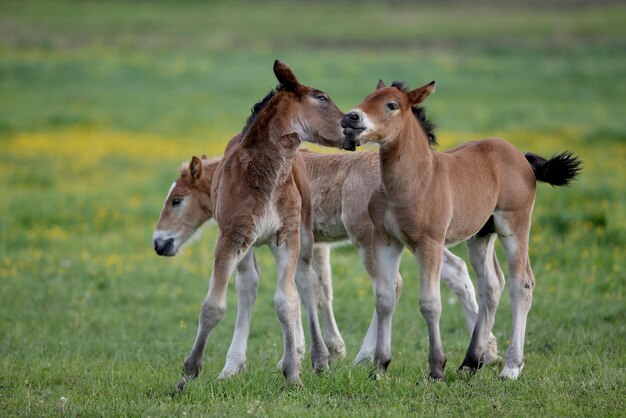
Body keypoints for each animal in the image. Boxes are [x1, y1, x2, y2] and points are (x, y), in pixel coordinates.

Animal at [342, 80, 580, 380]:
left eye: (391, 105)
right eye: (367, 98)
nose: (351, 118)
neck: (415, 180)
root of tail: (521, 157)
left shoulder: (429, 243)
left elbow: (430, 303)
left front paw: (436, 369)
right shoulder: (386, 242)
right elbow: (385, 299)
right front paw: (380, 368)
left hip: (514, 225)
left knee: (522, 283)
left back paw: (511, 367)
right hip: (481, 235)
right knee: (491, 285)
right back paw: (470, 362)